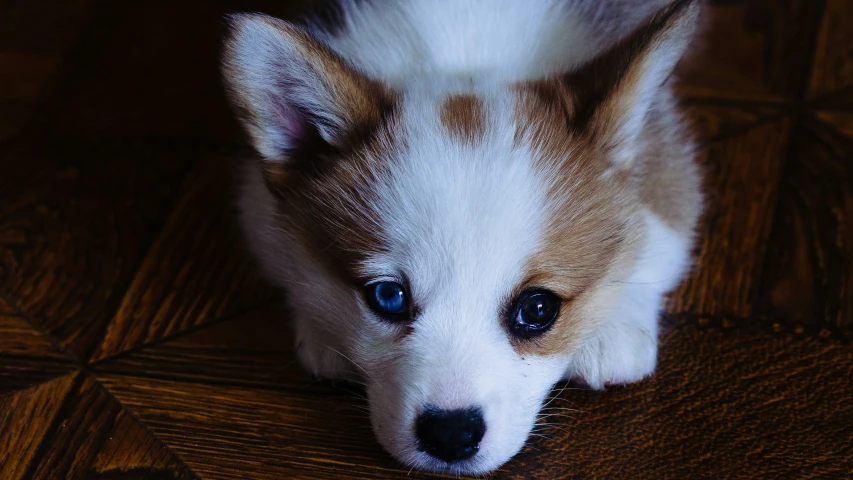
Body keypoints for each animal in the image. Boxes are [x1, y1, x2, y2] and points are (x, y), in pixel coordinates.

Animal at [220, 0, 700, 472]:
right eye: (387, 296)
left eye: (538, 308)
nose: (451, 435)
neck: (467, 51)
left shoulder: (668, 164)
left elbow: (659, 233)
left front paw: (612, 328)